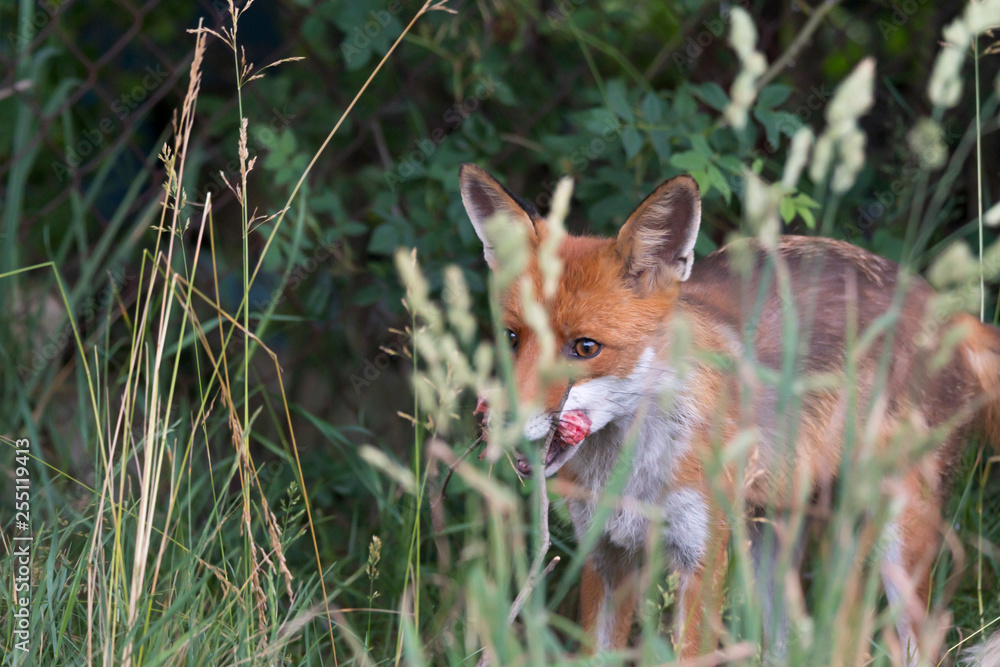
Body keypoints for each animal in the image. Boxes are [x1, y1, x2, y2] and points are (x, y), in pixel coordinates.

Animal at [458, 163, 1000, 663]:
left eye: (585, 347)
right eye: (511, 338)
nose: (497, 425)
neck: (634, 474)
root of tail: (944, 308)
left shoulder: (702, 556)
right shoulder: (606, 557)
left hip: (889, 542)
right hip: (777, 546)